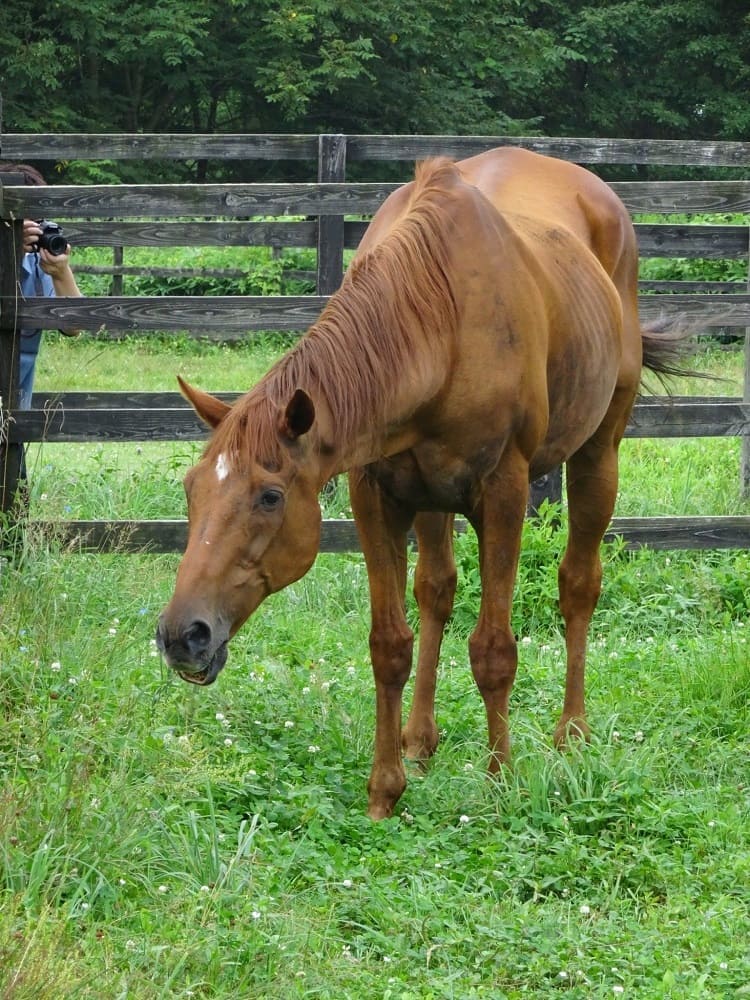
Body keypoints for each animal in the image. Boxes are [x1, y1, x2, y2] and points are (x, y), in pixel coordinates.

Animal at [157, 148, 688, 820]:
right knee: (436, 589)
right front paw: (385, 790)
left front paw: (499, 783)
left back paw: (572, 734)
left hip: (598, 453)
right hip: (434, 498)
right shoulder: (377, 496)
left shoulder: (505, 492)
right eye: (191, 490)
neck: (438, 320)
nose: (182, 636)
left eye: (270, 497)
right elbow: (390, 644)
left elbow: (494, 650)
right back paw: (419, 740)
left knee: (578, 585)